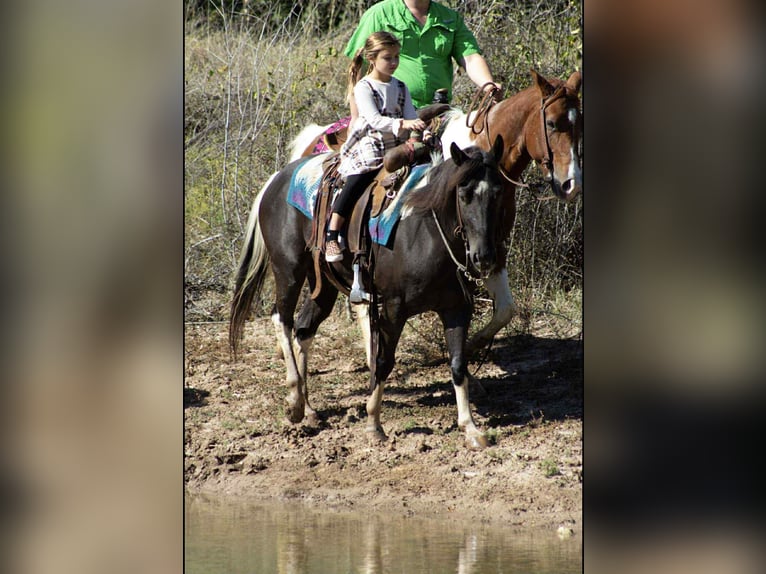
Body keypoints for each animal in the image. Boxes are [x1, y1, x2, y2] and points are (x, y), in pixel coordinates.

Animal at [230, 138, 506, 449]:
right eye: (464, 193)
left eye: (498, 192)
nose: (484, 257)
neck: (427, 233)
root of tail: (275, 180)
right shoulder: (394, 309)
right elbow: (384, 361)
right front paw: (374, 423)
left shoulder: (457, 308)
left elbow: (458, 364)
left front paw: (470, 428)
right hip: (288, 271)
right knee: (282, 320)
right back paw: (293, 400)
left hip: (322, 285)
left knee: (303, 329)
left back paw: (308, 408)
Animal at [289, 69, 583, 352]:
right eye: (551, 123)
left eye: (578, 123)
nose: (571, 184)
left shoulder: (492, 247)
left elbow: (505, 309)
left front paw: (473, 344)